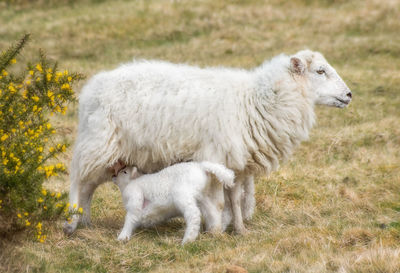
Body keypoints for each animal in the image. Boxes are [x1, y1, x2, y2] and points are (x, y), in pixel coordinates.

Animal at [63, 50, 354, 235]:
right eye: (320, 71)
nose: (350, 95)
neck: (255, 100)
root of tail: (90, 88)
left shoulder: (235, 163)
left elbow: (235, 198)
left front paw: (239, 230)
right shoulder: (214, 156)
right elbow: (219, 202)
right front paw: (214, 231)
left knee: (89, 187)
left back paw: (85, 222)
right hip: (97, 144)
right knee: (78, 182)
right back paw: (71, 223)